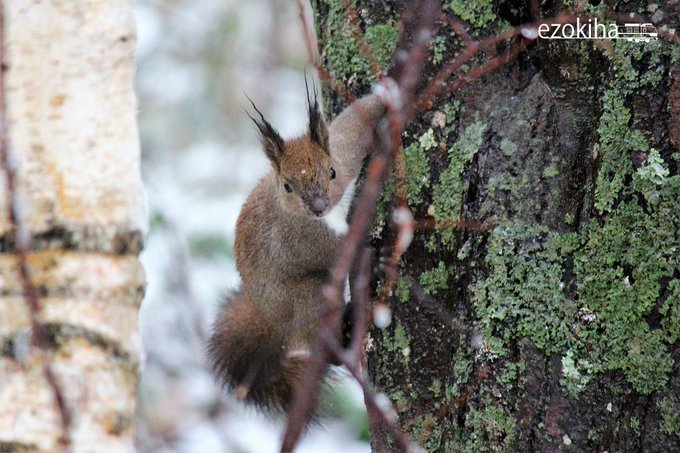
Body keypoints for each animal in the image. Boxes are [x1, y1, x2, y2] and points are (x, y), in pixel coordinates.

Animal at [205, 85, 386, 414]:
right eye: (288, 186)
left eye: (331, 172)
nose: (318, 206)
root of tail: (271, 320)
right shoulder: (299, 240)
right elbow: (340, 252)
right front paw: (373, 256)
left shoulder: (344, 153)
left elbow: (352, 125)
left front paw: (391, 92)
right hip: (306, 297)